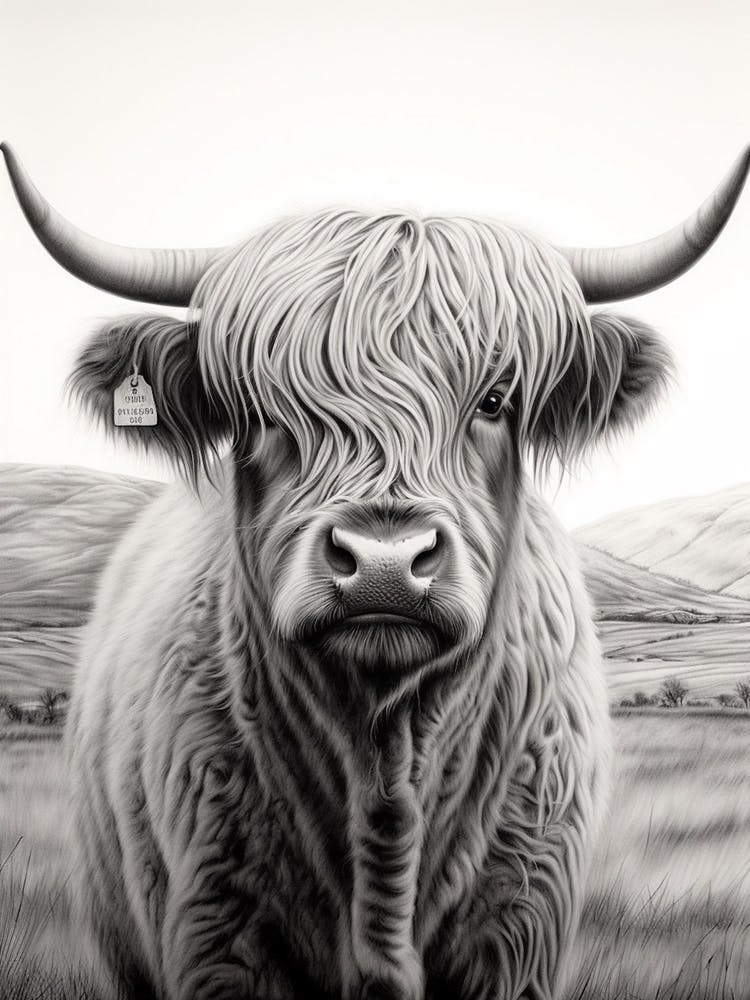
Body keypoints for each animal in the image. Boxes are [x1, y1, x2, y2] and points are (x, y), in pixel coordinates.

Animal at [3, 142, 748, 1000]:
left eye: (495, 399)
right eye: (261, 413)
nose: (386, 564)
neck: (386, 765)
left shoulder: (519, 931)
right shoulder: (216, 932)